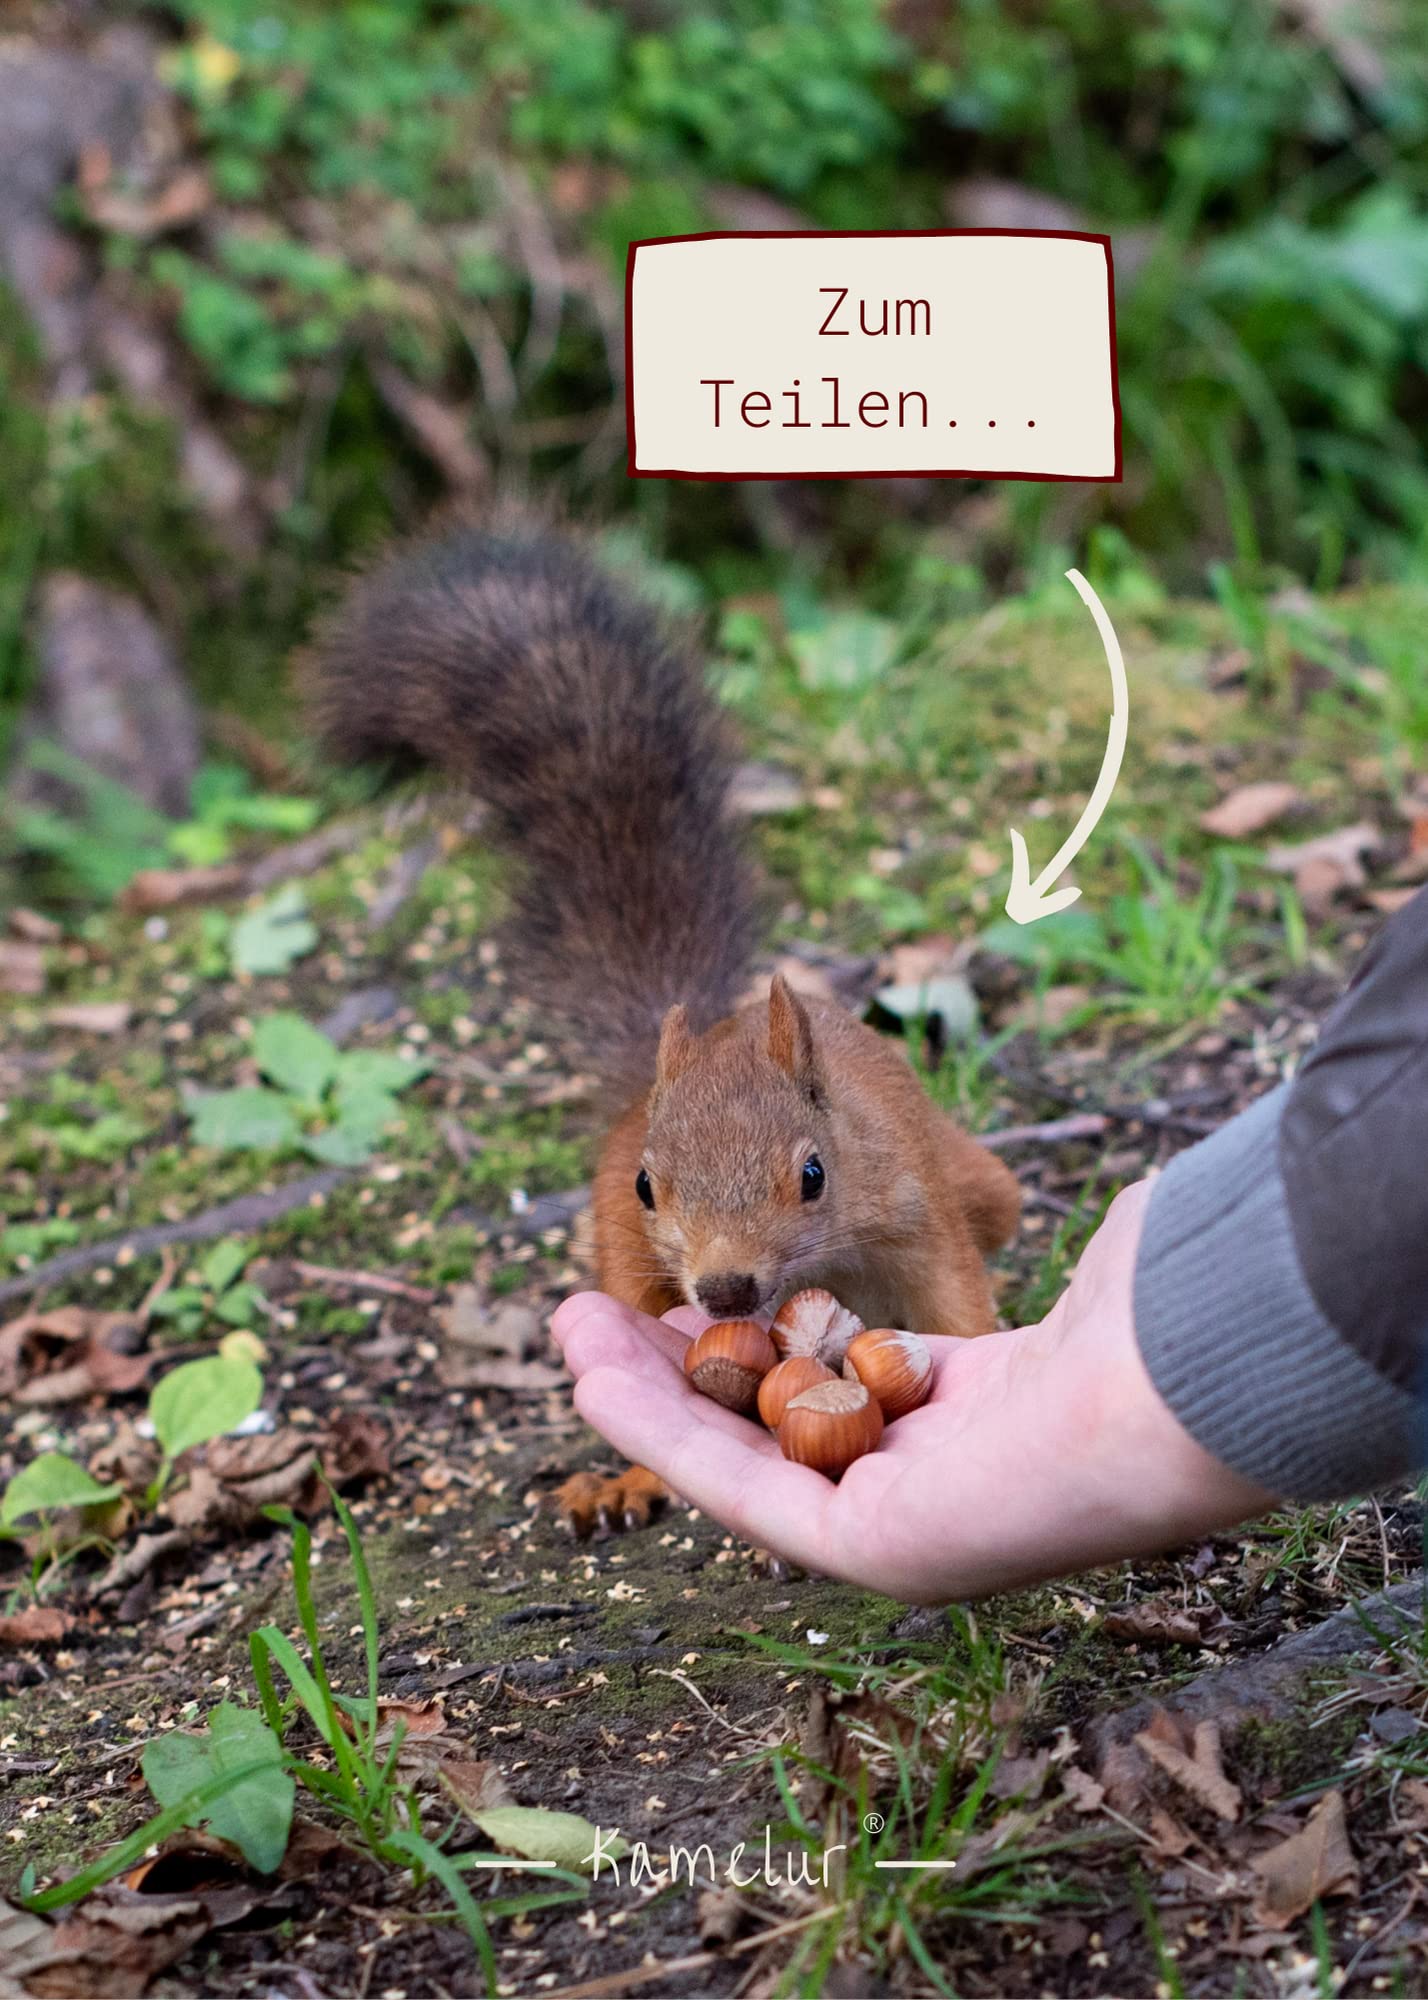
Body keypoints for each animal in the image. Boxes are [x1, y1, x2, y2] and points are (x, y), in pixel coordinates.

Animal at [307, 513, 1020, 1400]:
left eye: (814, 1175)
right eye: (649, 1185)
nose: (725, 1290)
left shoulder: (915, 1207)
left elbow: (956, 1296)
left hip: (980, 1180)